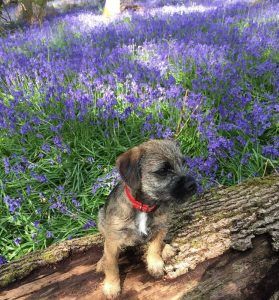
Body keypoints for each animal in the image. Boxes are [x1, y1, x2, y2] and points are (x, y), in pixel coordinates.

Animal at [97, 139, 198, 298]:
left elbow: (155, 247)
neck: (145, 206)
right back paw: (102, 261)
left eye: (183, 163)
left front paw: (155, 264)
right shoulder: (114, 238)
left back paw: (166, 248)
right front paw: (112, 286)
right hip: (100, 218)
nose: (193, 185)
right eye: (163, 170)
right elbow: (112, 265)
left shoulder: (161, 227)